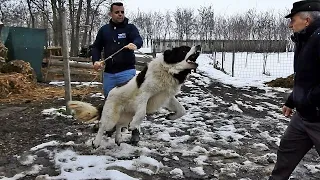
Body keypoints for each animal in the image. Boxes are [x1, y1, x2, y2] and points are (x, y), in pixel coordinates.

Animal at [67, 44, 201, 147]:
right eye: (184, 50)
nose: (199, 46)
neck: (168, 70)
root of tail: (108, 96)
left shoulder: (166, 96)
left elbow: (182, 110)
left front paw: (171, 116)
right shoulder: (145, 94)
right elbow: (141, 113)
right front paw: (134, 126)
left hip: (126, 115)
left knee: (119, 125)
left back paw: (118, 139)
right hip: (112, 116)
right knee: (103, 126)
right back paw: (96, 142)